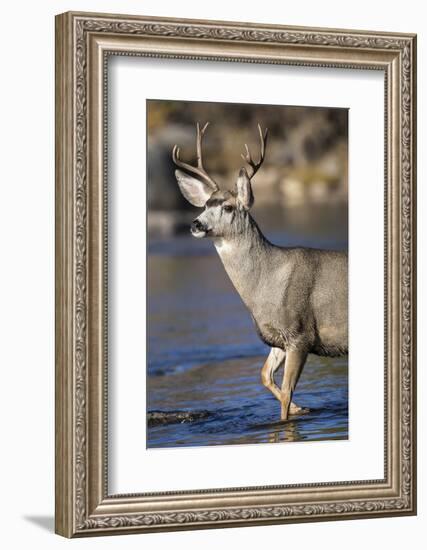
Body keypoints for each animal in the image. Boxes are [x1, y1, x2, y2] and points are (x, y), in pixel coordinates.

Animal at [172, 123, 350, 420]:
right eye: (205, 205)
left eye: (227, 207)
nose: (195, 224)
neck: (268, 282)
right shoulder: (277, 338)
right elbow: (265, 376)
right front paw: (304, 408)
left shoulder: (300, 332)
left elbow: (286, 394)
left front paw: (291, 414)